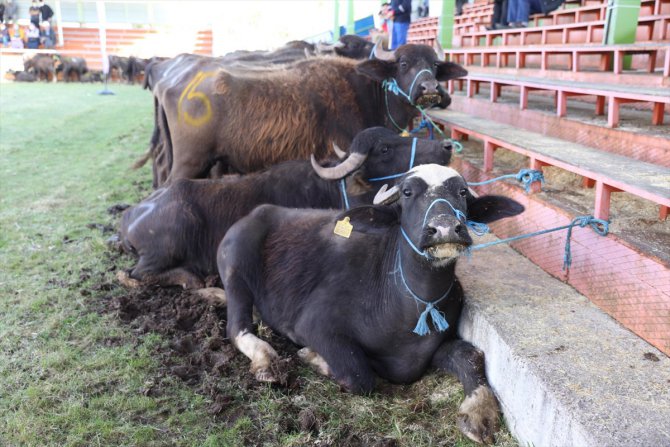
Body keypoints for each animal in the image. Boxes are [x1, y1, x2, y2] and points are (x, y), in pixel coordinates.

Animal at [118, 128, 454, 290]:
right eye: (384, 148)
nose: (446, 146)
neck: (337, 189)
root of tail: (129, 218)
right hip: (168, 244)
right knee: (137, 274)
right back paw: (195, 279)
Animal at [153, 43, 468, 186]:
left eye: (434, 65)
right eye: (403, 63)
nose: (430, 89)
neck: (368, 94)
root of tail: (169, 80)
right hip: (189, 162)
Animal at [219, 164, 524, 444]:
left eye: (461, 191)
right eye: (407, 192)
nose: (446, 228)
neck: (406, 306)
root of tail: (259, 212)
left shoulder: (430, 349)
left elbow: (470, 355)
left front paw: (479, 413)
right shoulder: (315, 326)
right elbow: (358, 375)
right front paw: (313, 356)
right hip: (236, 266)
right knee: (236, 327)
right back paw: (267, 361)